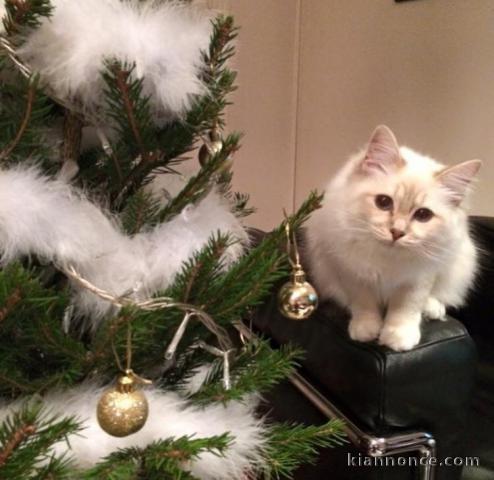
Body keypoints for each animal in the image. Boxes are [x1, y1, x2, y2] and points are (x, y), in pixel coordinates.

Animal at [306, 126, 480, 352]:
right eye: (383, 202)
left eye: (423, 215)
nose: (397, 232)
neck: (388, 259)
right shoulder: (351, 270)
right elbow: (364, 304)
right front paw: (366, 330)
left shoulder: (419, 278)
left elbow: (405, 308)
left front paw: (398, 338)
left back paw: (433, 309)